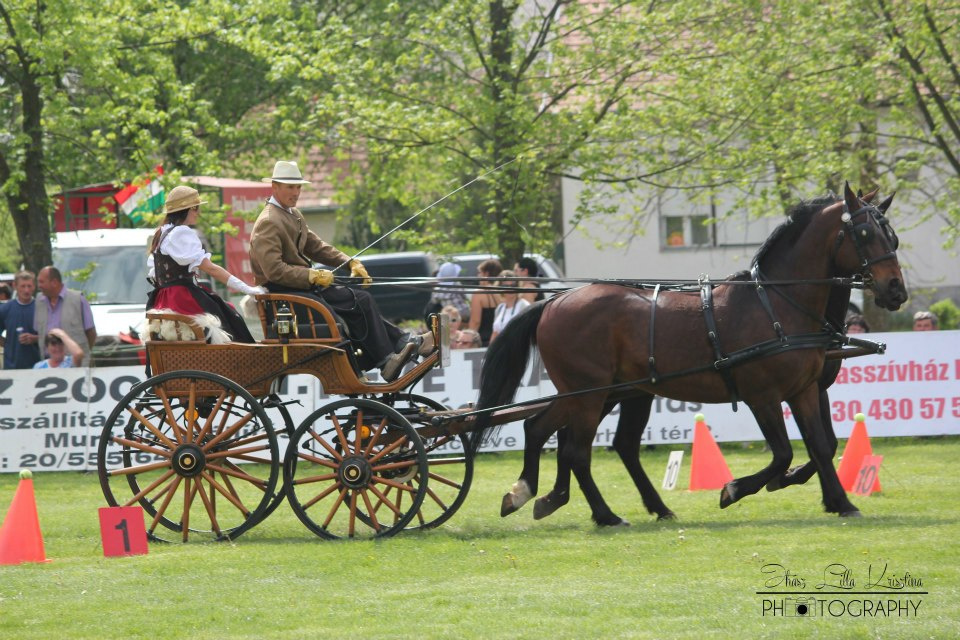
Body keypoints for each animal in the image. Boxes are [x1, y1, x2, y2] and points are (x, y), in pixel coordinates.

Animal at [474, 182, 908, 524]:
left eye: (893, 237)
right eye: (865, 232)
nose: (896, 291)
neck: (776, 303)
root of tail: (553, 301)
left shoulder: (804, 390)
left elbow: (820, 445)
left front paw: (841, 502)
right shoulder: (762, 396)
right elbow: (783, 454)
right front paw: (735, 489)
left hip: (598, 393)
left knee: (550, 433)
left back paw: (543, 495)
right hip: (588, 393)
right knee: (575, 449)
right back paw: (602, 513)